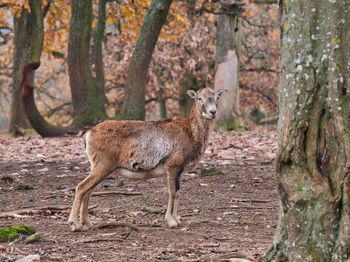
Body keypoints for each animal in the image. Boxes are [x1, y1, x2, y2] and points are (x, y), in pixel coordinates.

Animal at [68, 88, 227, 231]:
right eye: (199, 98)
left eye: (217, 97)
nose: (212, 112)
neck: (190, 133)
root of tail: (89, 134)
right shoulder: (172, 166)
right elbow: (172, 192)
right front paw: (171, 222)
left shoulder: (179, 171)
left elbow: (178, 193)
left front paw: (177, 220)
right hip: (102, 167)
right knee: (81, 187)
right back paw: (74, 225)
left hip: (98, 168)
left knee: (88, 191)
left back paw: (88, 224)